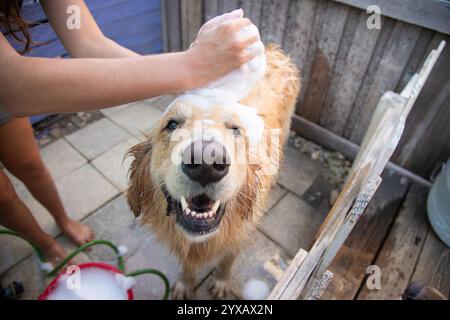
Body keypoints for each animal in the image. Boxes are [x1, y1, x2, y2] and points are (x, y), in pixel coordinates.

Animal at [125, 43, 298, 298]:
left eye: (236, 129)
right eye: (172, 124)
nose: (206, 164)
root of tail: (273, 49)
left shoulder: (241, 233)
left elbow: (227, 260)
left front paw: (222, 282)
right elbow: (187, 263)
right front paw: (185, 283)